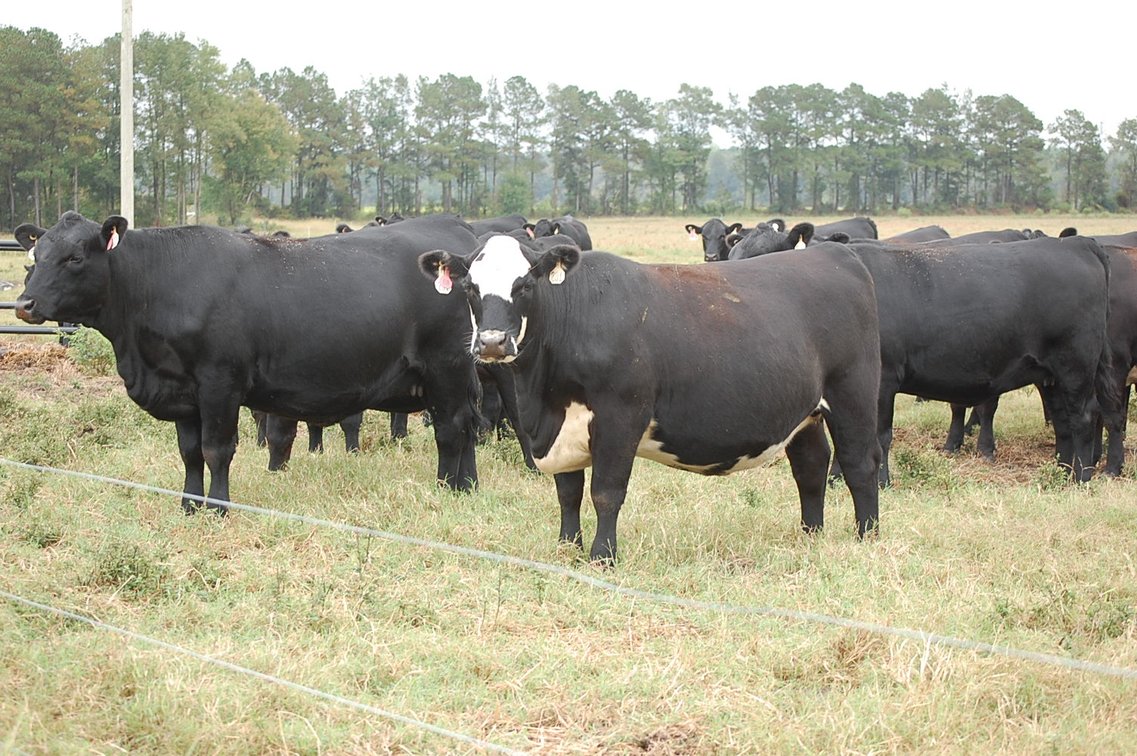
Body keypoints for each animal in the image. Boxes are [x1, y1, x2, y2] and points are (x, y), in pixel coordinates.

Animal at [14, 211, 485, 513]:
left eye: (75, 257)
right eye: (34, 259)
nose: (23, 304)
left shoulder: (219, 382)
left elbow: (217, 449)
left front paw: (219, 508)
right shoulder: (182, 389)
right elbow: (189, 452)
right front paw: (189, 506)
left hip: (446, 367)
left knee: (451, 429)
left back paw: (447, 488)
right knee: (467, 427)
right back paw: (468, 487)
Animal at [418, 235, 883, 564]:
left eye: (525, 284)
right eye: (470, 287)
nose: (493, 342)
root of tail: (836, 255)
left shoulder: (620, 415)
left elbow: (605, 492)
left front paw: (602, 557)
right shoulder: (561, 427)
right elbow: (567, 491)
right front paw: (567, 547)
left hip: (853, 395)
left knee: (860, 465)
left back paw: (867, 537)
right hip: (806, 412)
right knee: (811, 467)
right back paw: (811, 535)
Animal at [836, 236, 1118, 486]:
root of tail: (1077, 243)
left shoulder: (883, 381)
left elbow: (878, 436)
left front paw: (881, 482)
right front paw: (835, 479)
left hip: (1075, 367)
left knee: (1083, 417)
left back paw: (1081, 478)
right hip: (1050, 376)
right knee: (1063, 421)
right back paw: (1060, 474)